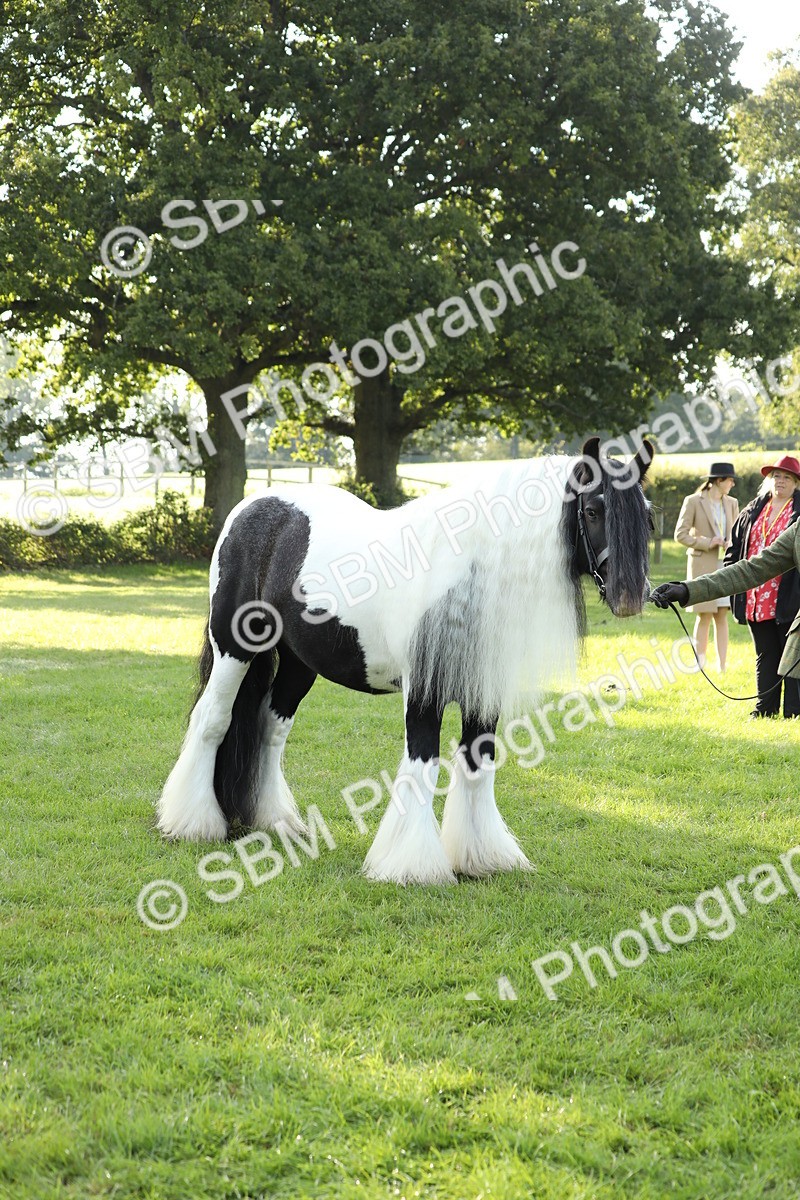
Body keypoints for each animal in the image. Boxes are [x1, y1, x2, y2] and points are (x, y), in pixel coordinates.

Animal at [157, 435, 654, 884]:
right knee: (213, 719)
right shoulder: (423, 694)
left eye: (648, 517)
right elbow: (422, 764)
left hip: (299, 664)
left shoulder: (482, 693)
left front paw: (482, 858)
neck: (465, 575)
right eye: (593, 510)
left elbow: (478, 764)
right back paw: (191, 823)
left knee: (269, 728)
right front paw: (411, 866)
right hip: (235, 649)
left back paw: (274, 822)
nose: (632, 598)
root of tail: (250, 508)